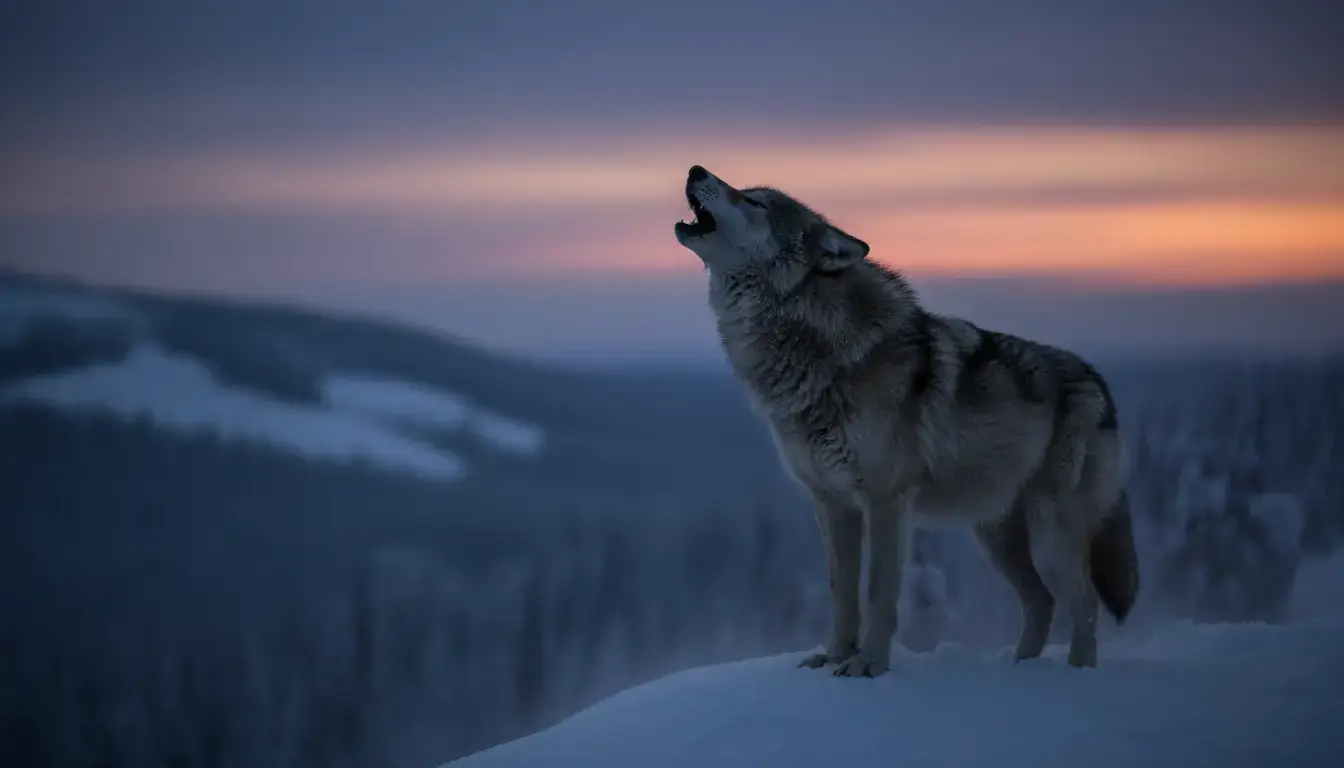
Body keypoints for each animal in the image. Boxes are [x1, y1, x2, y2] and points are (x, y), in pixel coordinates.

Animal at [673, 165, 1139, 677]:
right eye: (746, 192)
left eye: (755, 202)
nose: (696, 169)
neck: (815, 341)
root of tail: (1099, 383)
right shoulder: (831, 503)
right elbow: (842, 595)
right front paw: (834, 657)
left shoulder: (885, 500)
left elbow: (879, 591)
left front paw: (867, 667)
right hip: (997, 536)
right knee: (1042, 602)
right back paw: (1017, 669)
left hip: (1049, 532)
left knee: (1085, 603)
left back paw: (1074, 675)